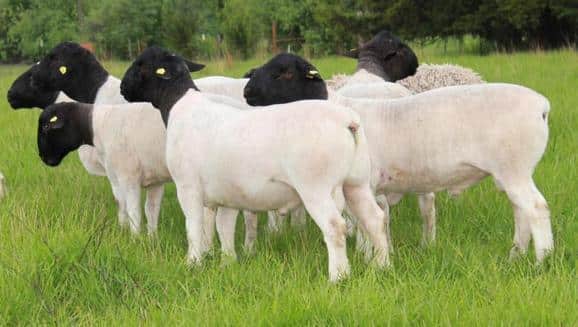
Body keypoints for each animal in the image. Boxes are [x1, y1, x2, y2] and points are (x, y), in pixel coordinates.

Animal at [121, 46, 392, 282]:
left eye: (140, 64)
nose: (123, 88)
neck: (179, 105)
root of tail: (347, 121)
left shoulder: (187, 187)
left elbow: (194, 227)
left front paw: (193, 263)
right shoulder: (227, 194)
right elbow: (224, 228)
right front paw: (227, 263)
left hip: (316, 187)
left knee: (335, 227)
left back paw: (338, 278)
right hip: (356, 183)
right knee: (375, 219)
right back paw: (381, 266)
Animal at [241, 53, 552, 264]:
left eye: (284, 73)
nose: (246, 91)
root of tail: (541, 106)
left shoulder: (363, 185)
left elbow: (366, 224)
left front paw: (369, 258)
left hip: (514, 169)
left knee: (536, 208)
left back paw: (542, 260)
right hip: (511, 172)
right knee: (521, 211)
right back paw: (516, 255)